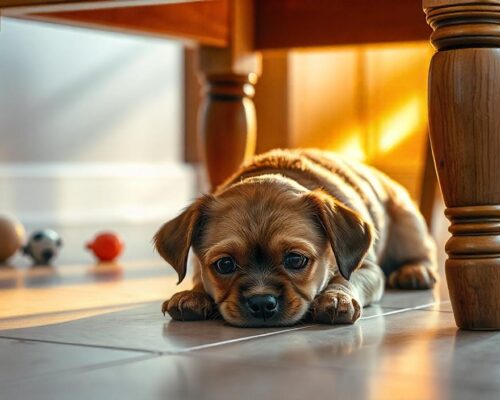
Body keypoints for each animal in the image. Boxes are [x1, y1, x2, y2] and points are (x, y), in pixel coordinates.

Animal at [154, 148, 436, 326]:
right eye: (224, 264)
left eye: (295, 260)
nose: (262, 303)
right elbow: (199, 281)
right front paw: (192, 295)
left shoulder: (366, 268)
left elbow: (344, 279)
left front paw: (336, 297)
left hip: (409, 222)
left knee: (424, 252)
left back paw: (415, 271)